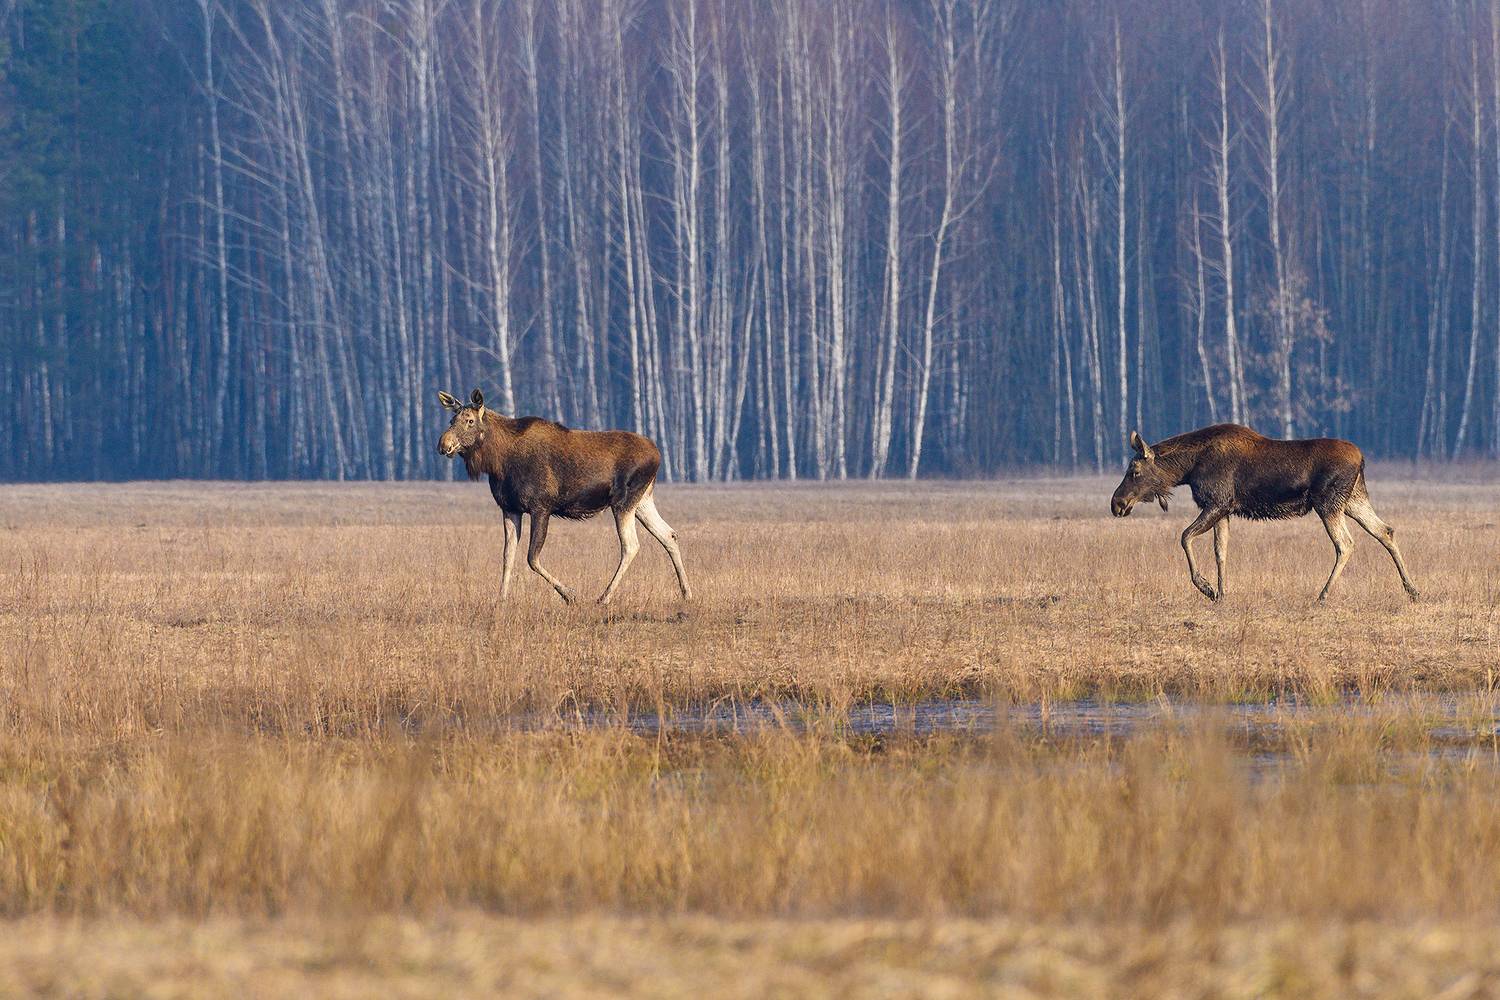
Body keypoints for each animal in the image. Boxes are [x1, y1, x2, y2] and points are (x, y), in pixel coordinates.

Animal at [437, 389, 691, 605]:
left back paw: (604, 597)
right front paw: (501, 599)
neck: (498, 462)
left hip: (623, 501)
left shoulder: (541, 506)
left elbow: (532, 558)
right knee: (669, 534)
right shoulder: (509, 508)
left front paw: (569, 594)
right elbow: (507, 556)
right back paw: (687, 592)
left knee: (631, 545)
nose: (443, 445)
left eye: (470, 420)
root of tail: (658, 455)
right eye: (451, 421)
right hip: (643, 501)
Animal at [1110, 423, 1419, 604]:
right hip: (1353, 500)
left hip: (1328, 503)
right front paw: (1221, 594)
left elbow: (1185, 537)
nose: (1117, 503)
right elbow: (1220, 551)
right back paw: (1412, 589)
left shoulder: (1217, 503)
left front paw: (1206, 587)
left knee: (1346, 543)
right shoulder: (1223, 509)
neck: (1188, 468)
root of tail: (1362, 458)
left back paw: (1322, 595)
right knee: (1385, 530)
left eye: (1134, 471)